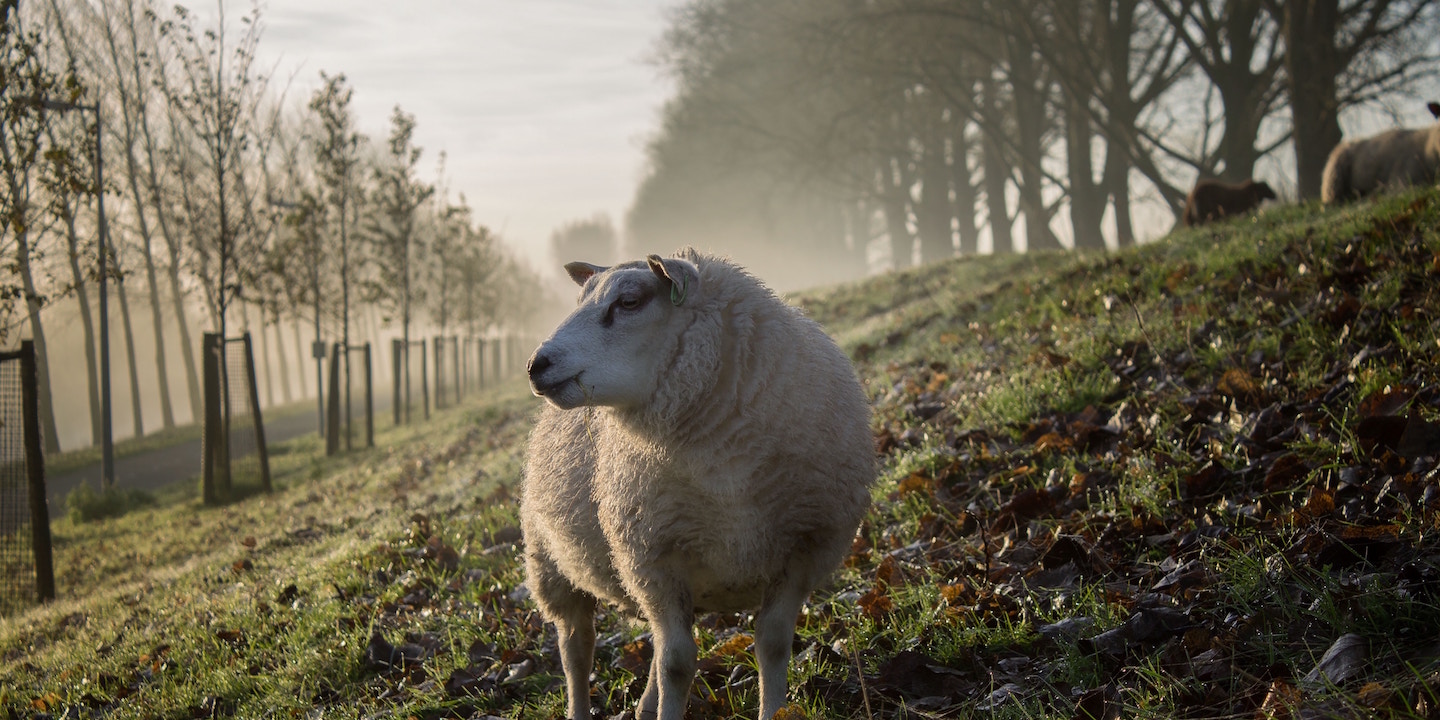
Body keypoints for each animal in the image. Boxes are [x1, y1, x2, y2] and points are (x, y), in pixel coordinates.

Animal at [520, 247, 876, 720]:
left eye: (629, 302)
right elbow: (677, 663)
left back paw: (644, 707)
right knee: (577, 650)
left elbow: (771, 644)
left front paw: (772, 708)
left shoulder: (805, 549)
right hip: (552, 565)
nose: (535, 365)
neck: (725, 470)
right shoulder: (653, 560)